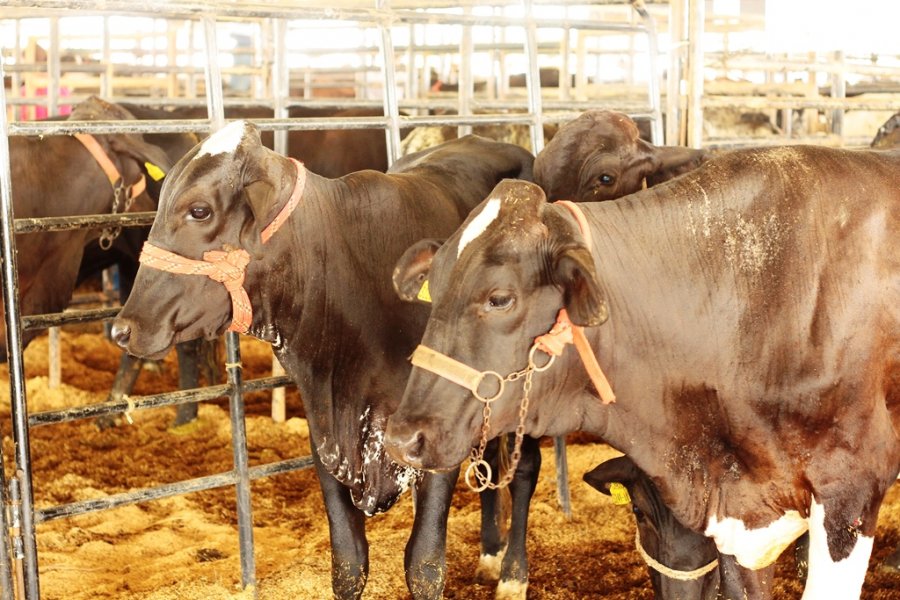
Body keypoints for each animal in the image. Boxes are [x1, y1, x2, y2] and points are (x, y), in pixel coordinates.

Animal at [109, 123, 536, 600]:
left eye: (198, 210)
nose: (123, 329)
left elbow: (425, 564)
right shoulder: (325, 433)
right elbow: (348, 562)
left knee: (523, 471)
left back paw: (512, 574)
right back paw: (490, 554)